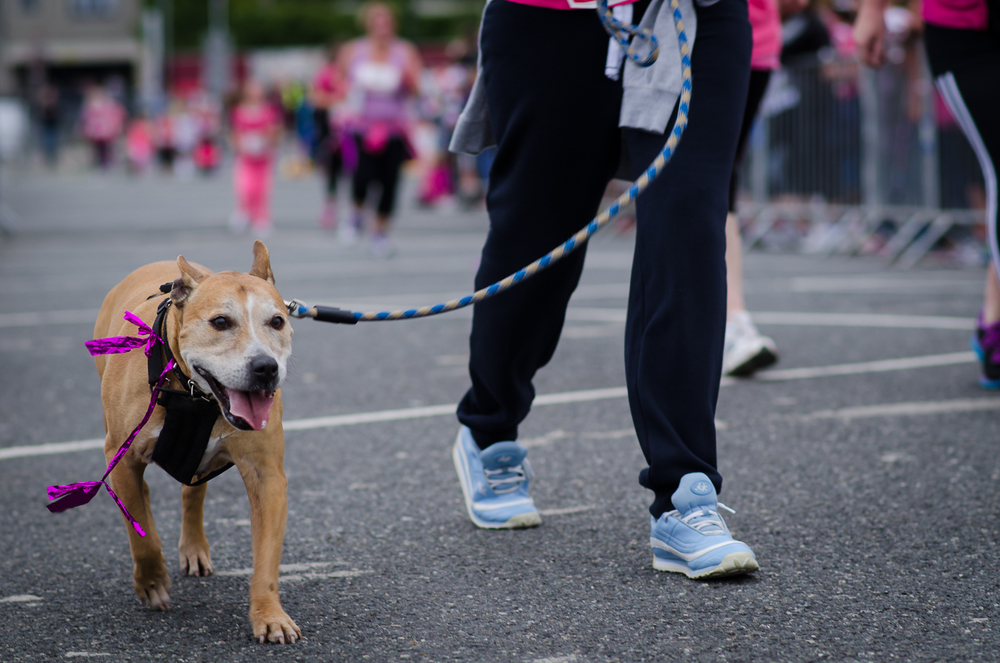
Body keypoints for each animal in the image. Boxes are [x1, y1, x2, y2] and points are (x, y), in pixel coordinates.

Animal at [92, 241, 298, 644]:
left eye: (277, 322)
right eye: (220, 322)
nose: (266, 367)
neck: (192, 392)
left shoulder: (267, 476)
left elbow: (267, 556)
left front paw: (269, 615)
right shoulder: (121, 457)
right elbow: (141, 535)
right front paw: (152, 582)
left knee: (192, 493)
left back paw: (194, 548)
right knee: (141, 503)